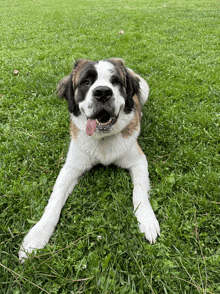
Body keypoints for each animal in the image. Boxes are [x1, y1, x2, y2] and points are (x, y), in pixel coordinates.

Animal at [18, 57, 160, 262]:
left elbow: (139, 192)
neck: (103, 138)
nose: (103, 92)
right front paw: (37, 236)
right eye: (86, 82)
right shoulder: (71, 168)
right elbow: (55, 200)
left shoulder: (138, 160)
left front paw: (147, 221)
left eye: (115, 81)